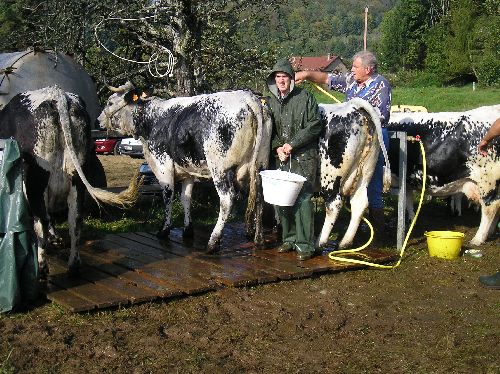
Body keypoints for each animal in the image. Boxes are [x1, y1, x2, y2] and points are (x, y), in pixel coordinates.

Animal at [0, 86, 138, 274]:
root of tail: (57, 94)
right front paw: (56, 238)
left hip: (36, 180)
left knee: (41, 220)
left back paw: (42, 267)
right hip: (77, 178)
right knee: (75, 219)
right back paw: (74, 263)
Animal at [96, 81, 270, 251]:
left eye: (110, 102)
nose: (98, 120)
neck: (152, 119)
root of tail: (247, 97)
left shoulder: (162, 165)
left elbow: (168, 195)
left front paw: (164, 230)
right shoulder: (188, 171)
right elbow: (185, 198)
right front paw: (188, 230)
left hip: (220, 169)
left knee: (227, 199)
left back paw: (213, 241)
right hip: (260, 166)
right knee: (260, 197)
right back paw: (258, 238)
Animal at [316, 99, 390, 250]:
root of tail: (353, 106)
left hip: (330, 175)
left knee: (334, 204)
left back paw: (321, 241)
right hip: (365, 171)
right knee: (360, 202)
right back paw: (345, 242)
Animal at [386, 105, 500, 245]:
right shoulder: (406, 181)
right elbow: (407, 201)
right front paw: (411, 222)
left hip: (487, 180)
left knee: (490, 207)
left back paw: (478, 238)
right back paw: (490, 233)